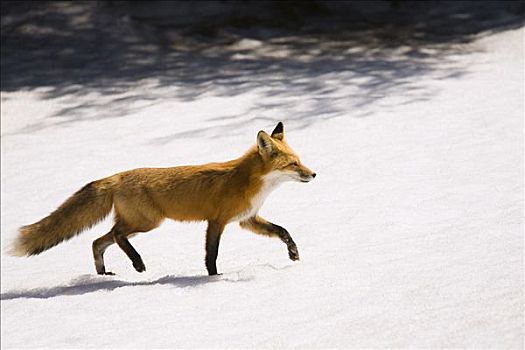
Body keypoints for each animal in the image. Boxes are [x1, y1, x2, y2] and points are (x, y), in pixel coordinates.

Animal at [12, 121, 316, 274]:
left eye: (300, 161)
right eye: (293, 165)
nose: (314, 174)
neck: (248, 183)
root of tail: (117, 175)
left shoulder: (247, 219)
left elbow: (283, 231)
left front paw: (294, 253)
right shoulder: (216, 221)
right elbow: (211, 255)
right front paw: (214, 278)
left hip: (139, 224)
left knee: (98, 241)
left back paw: (104, 274)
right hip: (147, 223)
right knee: (115, 236)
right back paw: (137, 263)